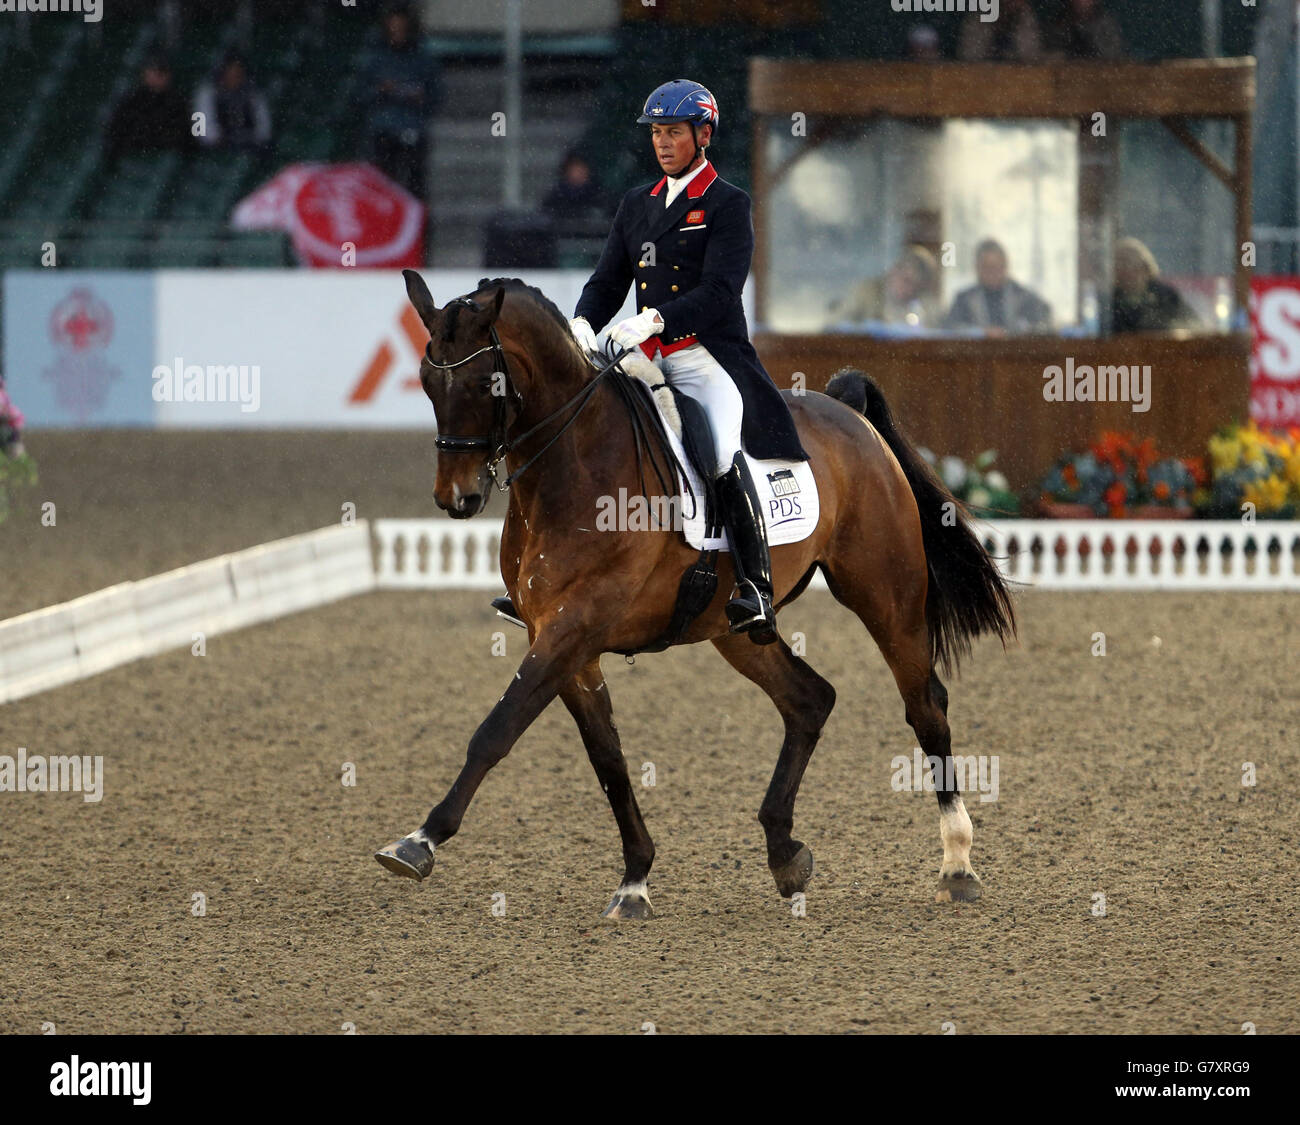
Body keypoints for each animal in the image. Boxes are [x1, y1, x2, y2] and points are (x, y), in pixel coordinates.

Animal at [377, 270, 1013, 915]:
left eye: (486, 382)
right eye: (426, 382)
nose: (456, 499)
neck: (575, 463)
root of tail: (847, 414)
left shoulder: (572, 627)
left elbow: (496, 730)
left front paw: (418, 842)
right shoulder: (563, 639)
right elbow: (608, 758)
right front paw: (635, 878)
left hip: (886, 593)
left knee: (924, 705)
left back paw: (958, 863)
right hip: (735, 630)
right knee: (810, 699)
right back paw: (785, 853)